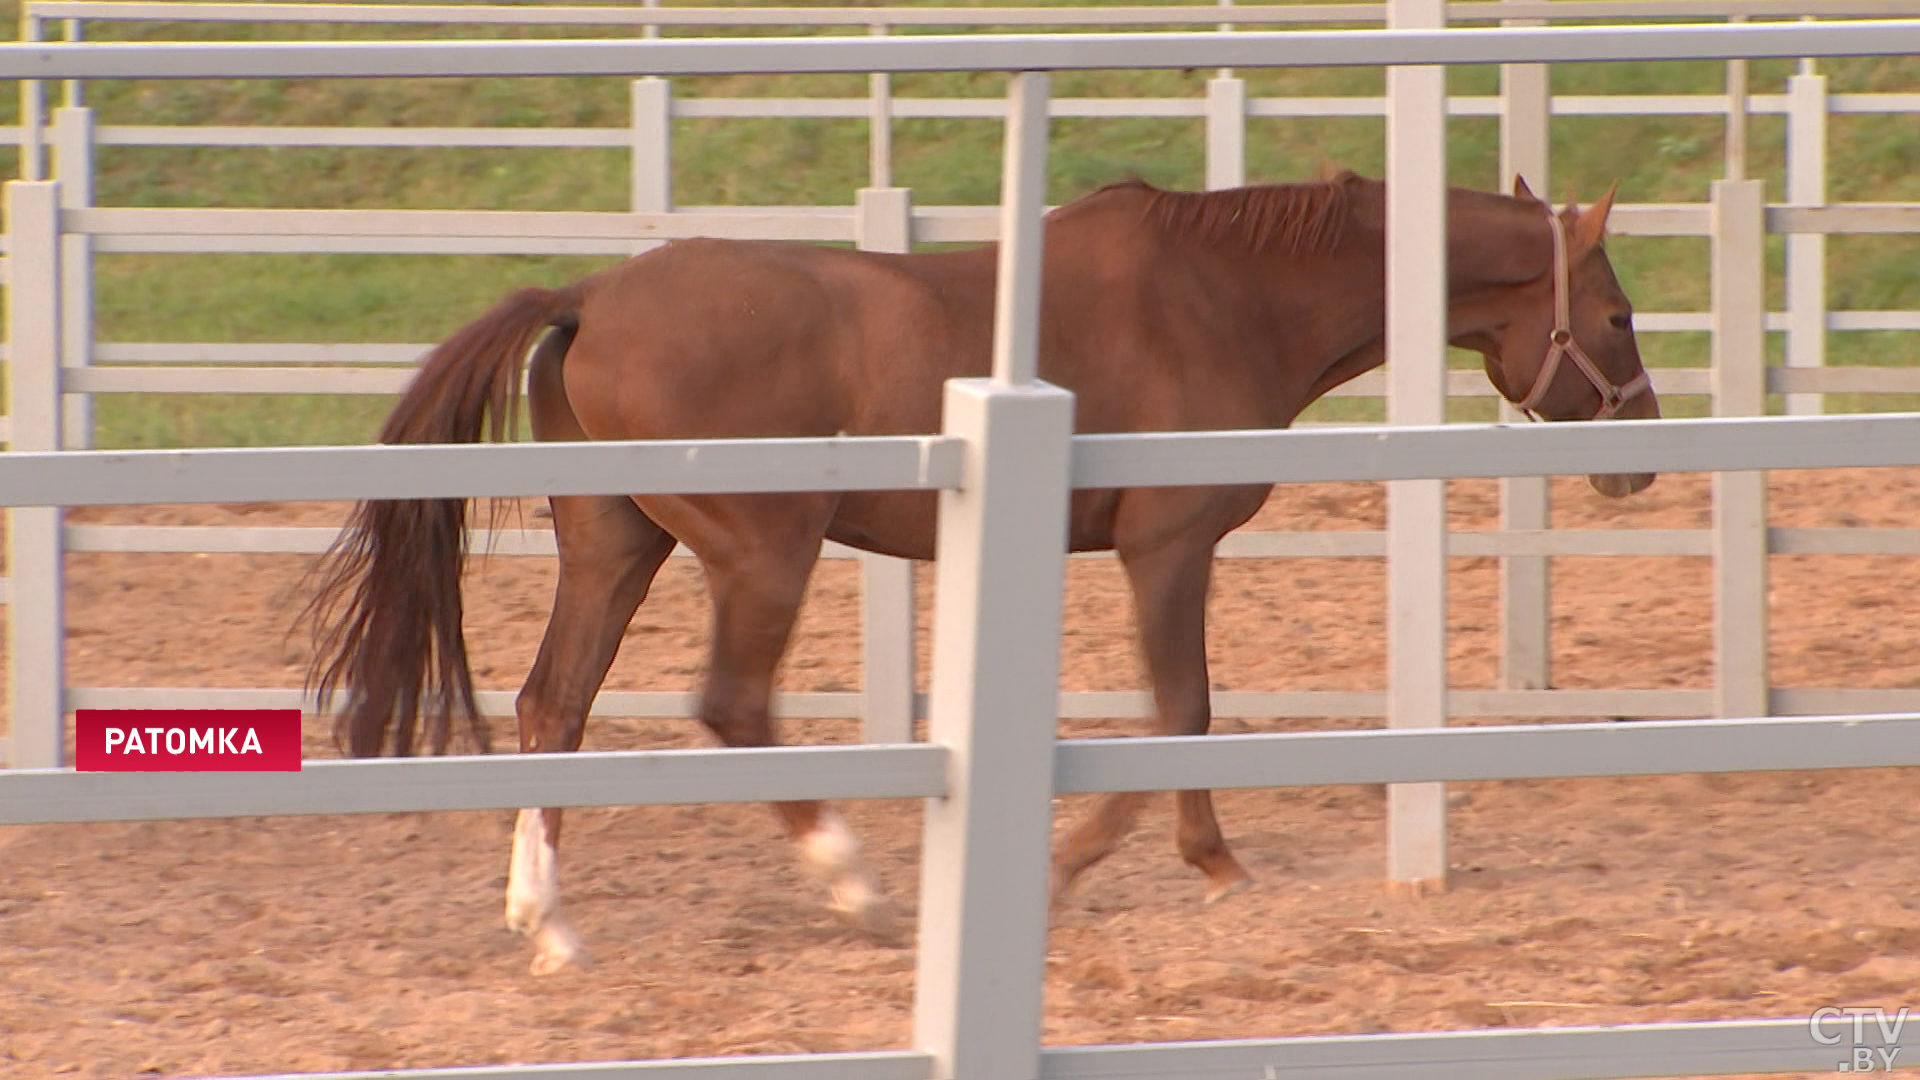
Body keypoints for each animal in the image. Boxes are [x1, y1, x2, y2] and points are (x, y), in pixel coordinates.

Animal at [299, 168, 1651, 968]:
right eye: (1622, 313)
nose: (1636, 449)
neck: (1220, 295)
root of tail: (595, 295)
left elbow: (1181, 711)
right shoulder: (1169, 546)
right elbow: (1182, 708)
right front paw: (1144, 864)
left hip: (616, 544)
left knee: (554, 706)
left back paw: (551, 924)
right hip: (761, 551)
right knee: (729, 704)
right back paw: (857, 891)